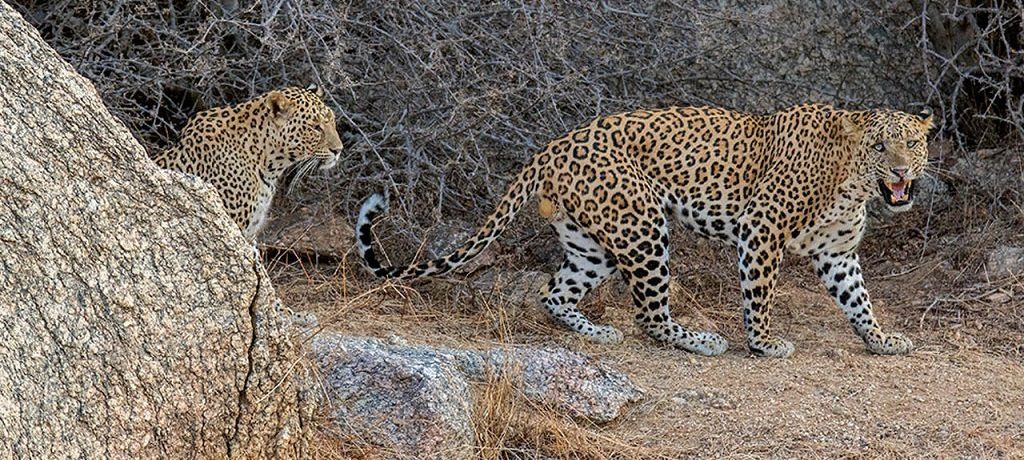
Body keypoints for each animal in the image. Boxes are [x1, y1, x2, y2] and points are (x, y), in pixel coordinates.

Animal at [356, 102, 933, 356]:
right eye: (880, 146)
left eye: (912, 143)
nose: (901, 171)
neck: (852, 181)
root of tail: (552, 146)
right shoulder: (761, 227)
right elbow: (760, 295)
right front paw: (765, 344)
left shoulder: (838, 252)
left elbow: (858, 299)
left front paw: (881, 339)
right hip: (643, 224)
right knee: (649, 314)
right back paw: (699, 341)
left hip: (594, 245)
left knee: (553, 292)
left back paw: (597, 332)